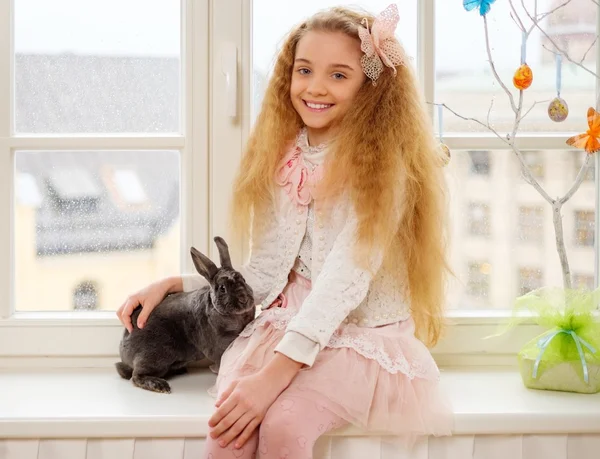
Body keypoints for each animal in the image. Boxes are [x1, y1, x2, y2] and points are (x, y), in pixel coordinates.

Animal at [115, 237, 255, 396]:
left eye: (244, 280)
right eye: (222, 288)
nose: (244, 299)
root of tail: (124, 353)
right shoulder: (220, 346)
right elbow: (222, 361)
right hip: (156, 355)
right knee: (136, 376)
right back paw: (160, 386)